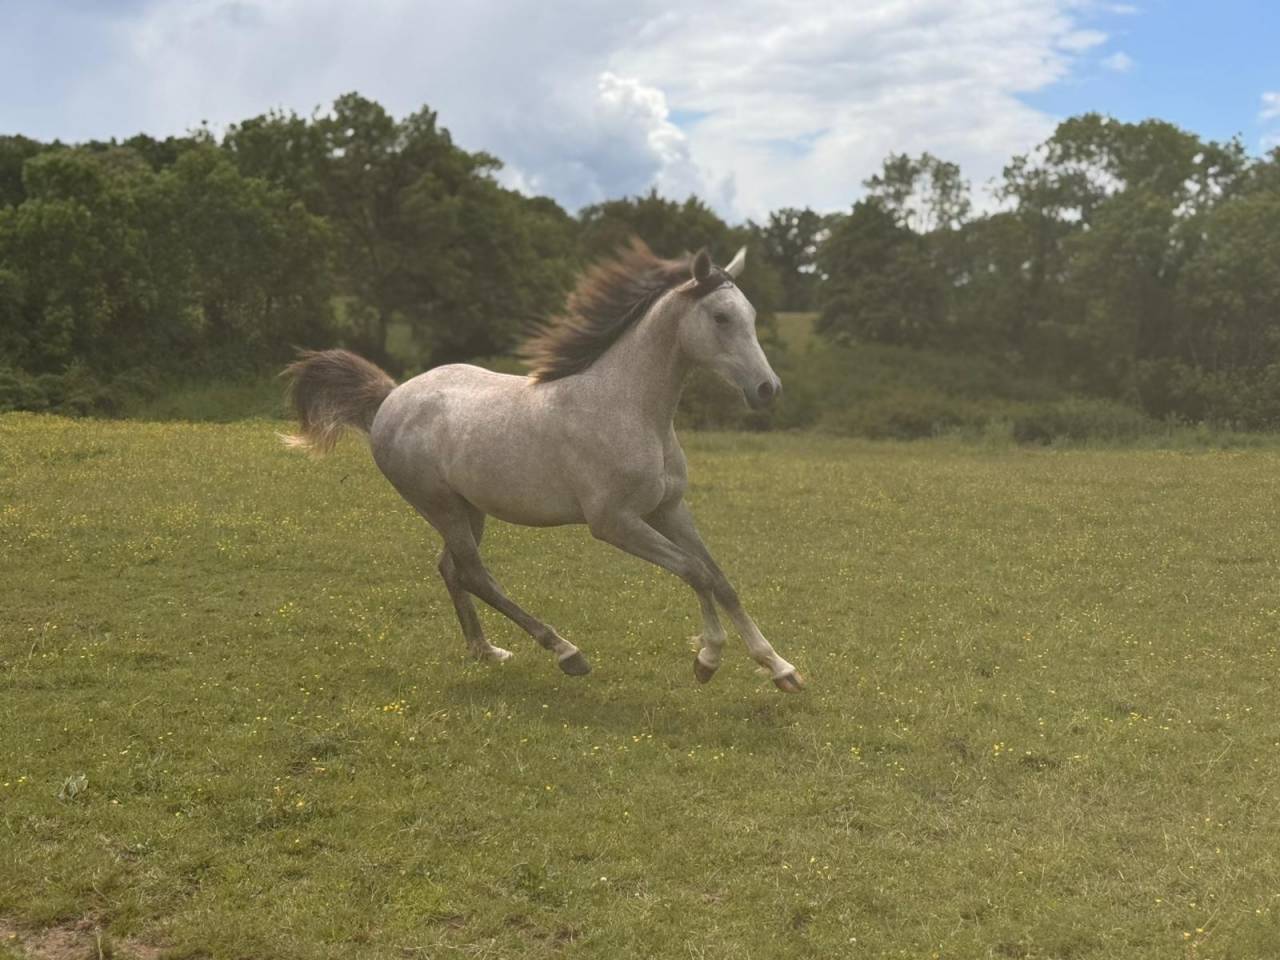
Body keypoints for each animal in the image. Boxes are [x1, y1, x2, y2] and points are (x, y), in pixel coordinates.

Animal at [281, 239, 802, 693]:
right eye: (720, 316)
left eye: (752, 315)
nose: (768, 389)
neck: (628, 408)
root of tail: (390, 398)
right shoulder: (614, 522)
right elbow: (695, 571)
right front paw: (707, 659)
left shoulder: (669, 508)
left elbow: (721, 579)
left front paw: (781, 669)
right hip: (439, 505)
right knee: (475, 574)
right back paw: (566, 652)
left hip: (469, 509)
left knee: (451, 568)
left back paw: (486, 650)